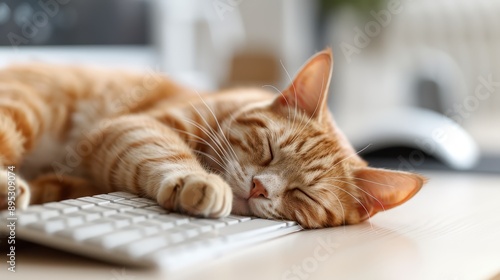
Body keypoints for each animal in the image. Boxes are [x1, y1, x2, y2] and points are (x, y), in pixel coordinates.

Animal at [0, 48, 426, 228]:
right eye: (269, 150)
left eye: (303, 194)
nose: (258, 187)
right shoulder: (136, 126)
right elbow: (160, 150)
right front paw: (198, 180)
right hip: (27, 109)